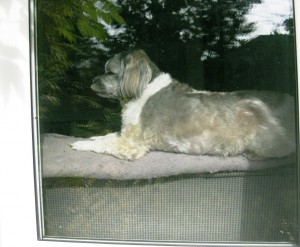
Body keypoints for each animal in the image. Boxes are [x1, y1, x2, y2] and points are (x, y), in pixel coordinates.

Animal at [72, 49, 296, 161]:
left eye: (109, 72)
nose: (92, 80)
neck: (144, 88)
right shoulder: (126, 134)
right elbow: (107, 136)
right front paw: (92, 136)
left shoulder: (131, 144)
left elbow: (105, 143)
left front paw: (81, 143)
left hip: (257, 115)